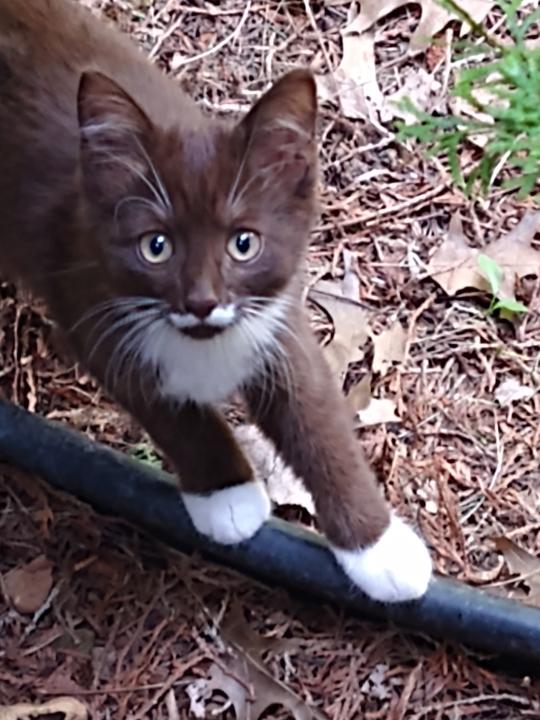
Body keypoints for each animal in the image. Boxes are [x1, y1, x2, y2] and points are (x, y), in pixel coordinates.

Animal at [0, 0, 430, 600]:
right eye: (156, 246)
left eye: (243, 243)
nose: (202, 301)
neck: (203, 342)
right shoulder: (91, 307)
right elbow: (172, 413)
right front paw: (228, 498)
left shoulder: (277, 319)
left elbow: (317, 419)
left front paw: (379, 548)